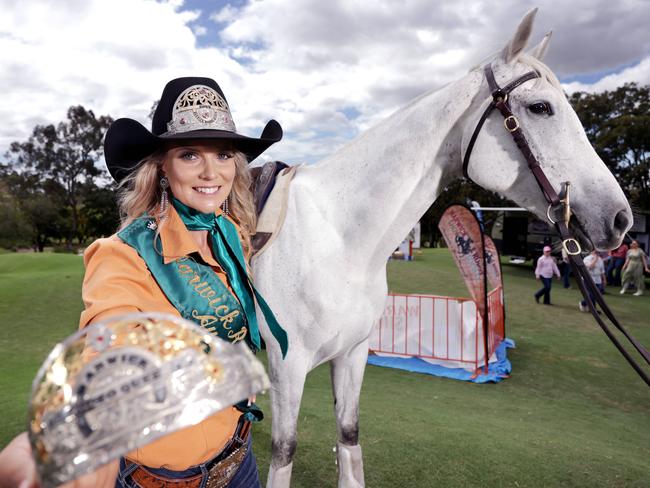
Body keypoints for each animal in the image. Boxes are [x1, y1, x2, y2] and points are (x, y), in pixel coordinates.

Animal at [251, 8, 632, 488]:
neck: (337, 237)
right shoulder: (288, 368)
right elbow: (284, 452)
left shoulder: (352, 355)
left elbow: (349, 436)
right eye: (540, 107)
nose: (620, 218)